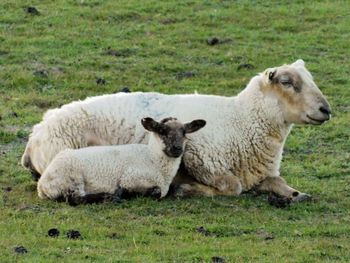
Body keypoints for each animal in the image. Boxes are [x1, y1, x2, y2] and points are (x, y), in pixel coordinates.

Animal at [37, 116, 206, 205]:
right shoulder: (131, 178)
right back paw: (108, 196)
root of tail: (42, 185)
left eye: (184, 132)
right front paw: (122, 192)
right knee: (75, 199)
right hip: (71, 178)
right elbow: (155, 192)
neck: (153, 158)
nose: (177, 149)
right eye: (162, 131)